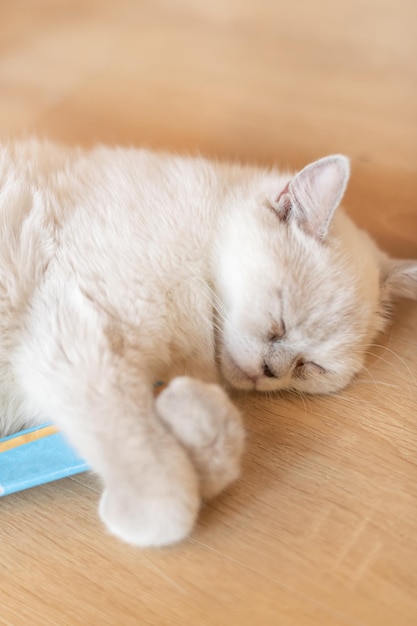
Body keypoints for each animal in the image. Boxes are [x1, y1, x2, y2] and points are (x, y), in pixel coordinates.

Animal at [0, 139, 414, 544]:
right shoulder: (76, 338)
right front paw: (151, 509)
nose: (270, 371)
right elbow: (147, 458)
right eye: (279, 321)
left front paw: (189, 416)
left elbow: (215, 457)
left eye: (311, 367)